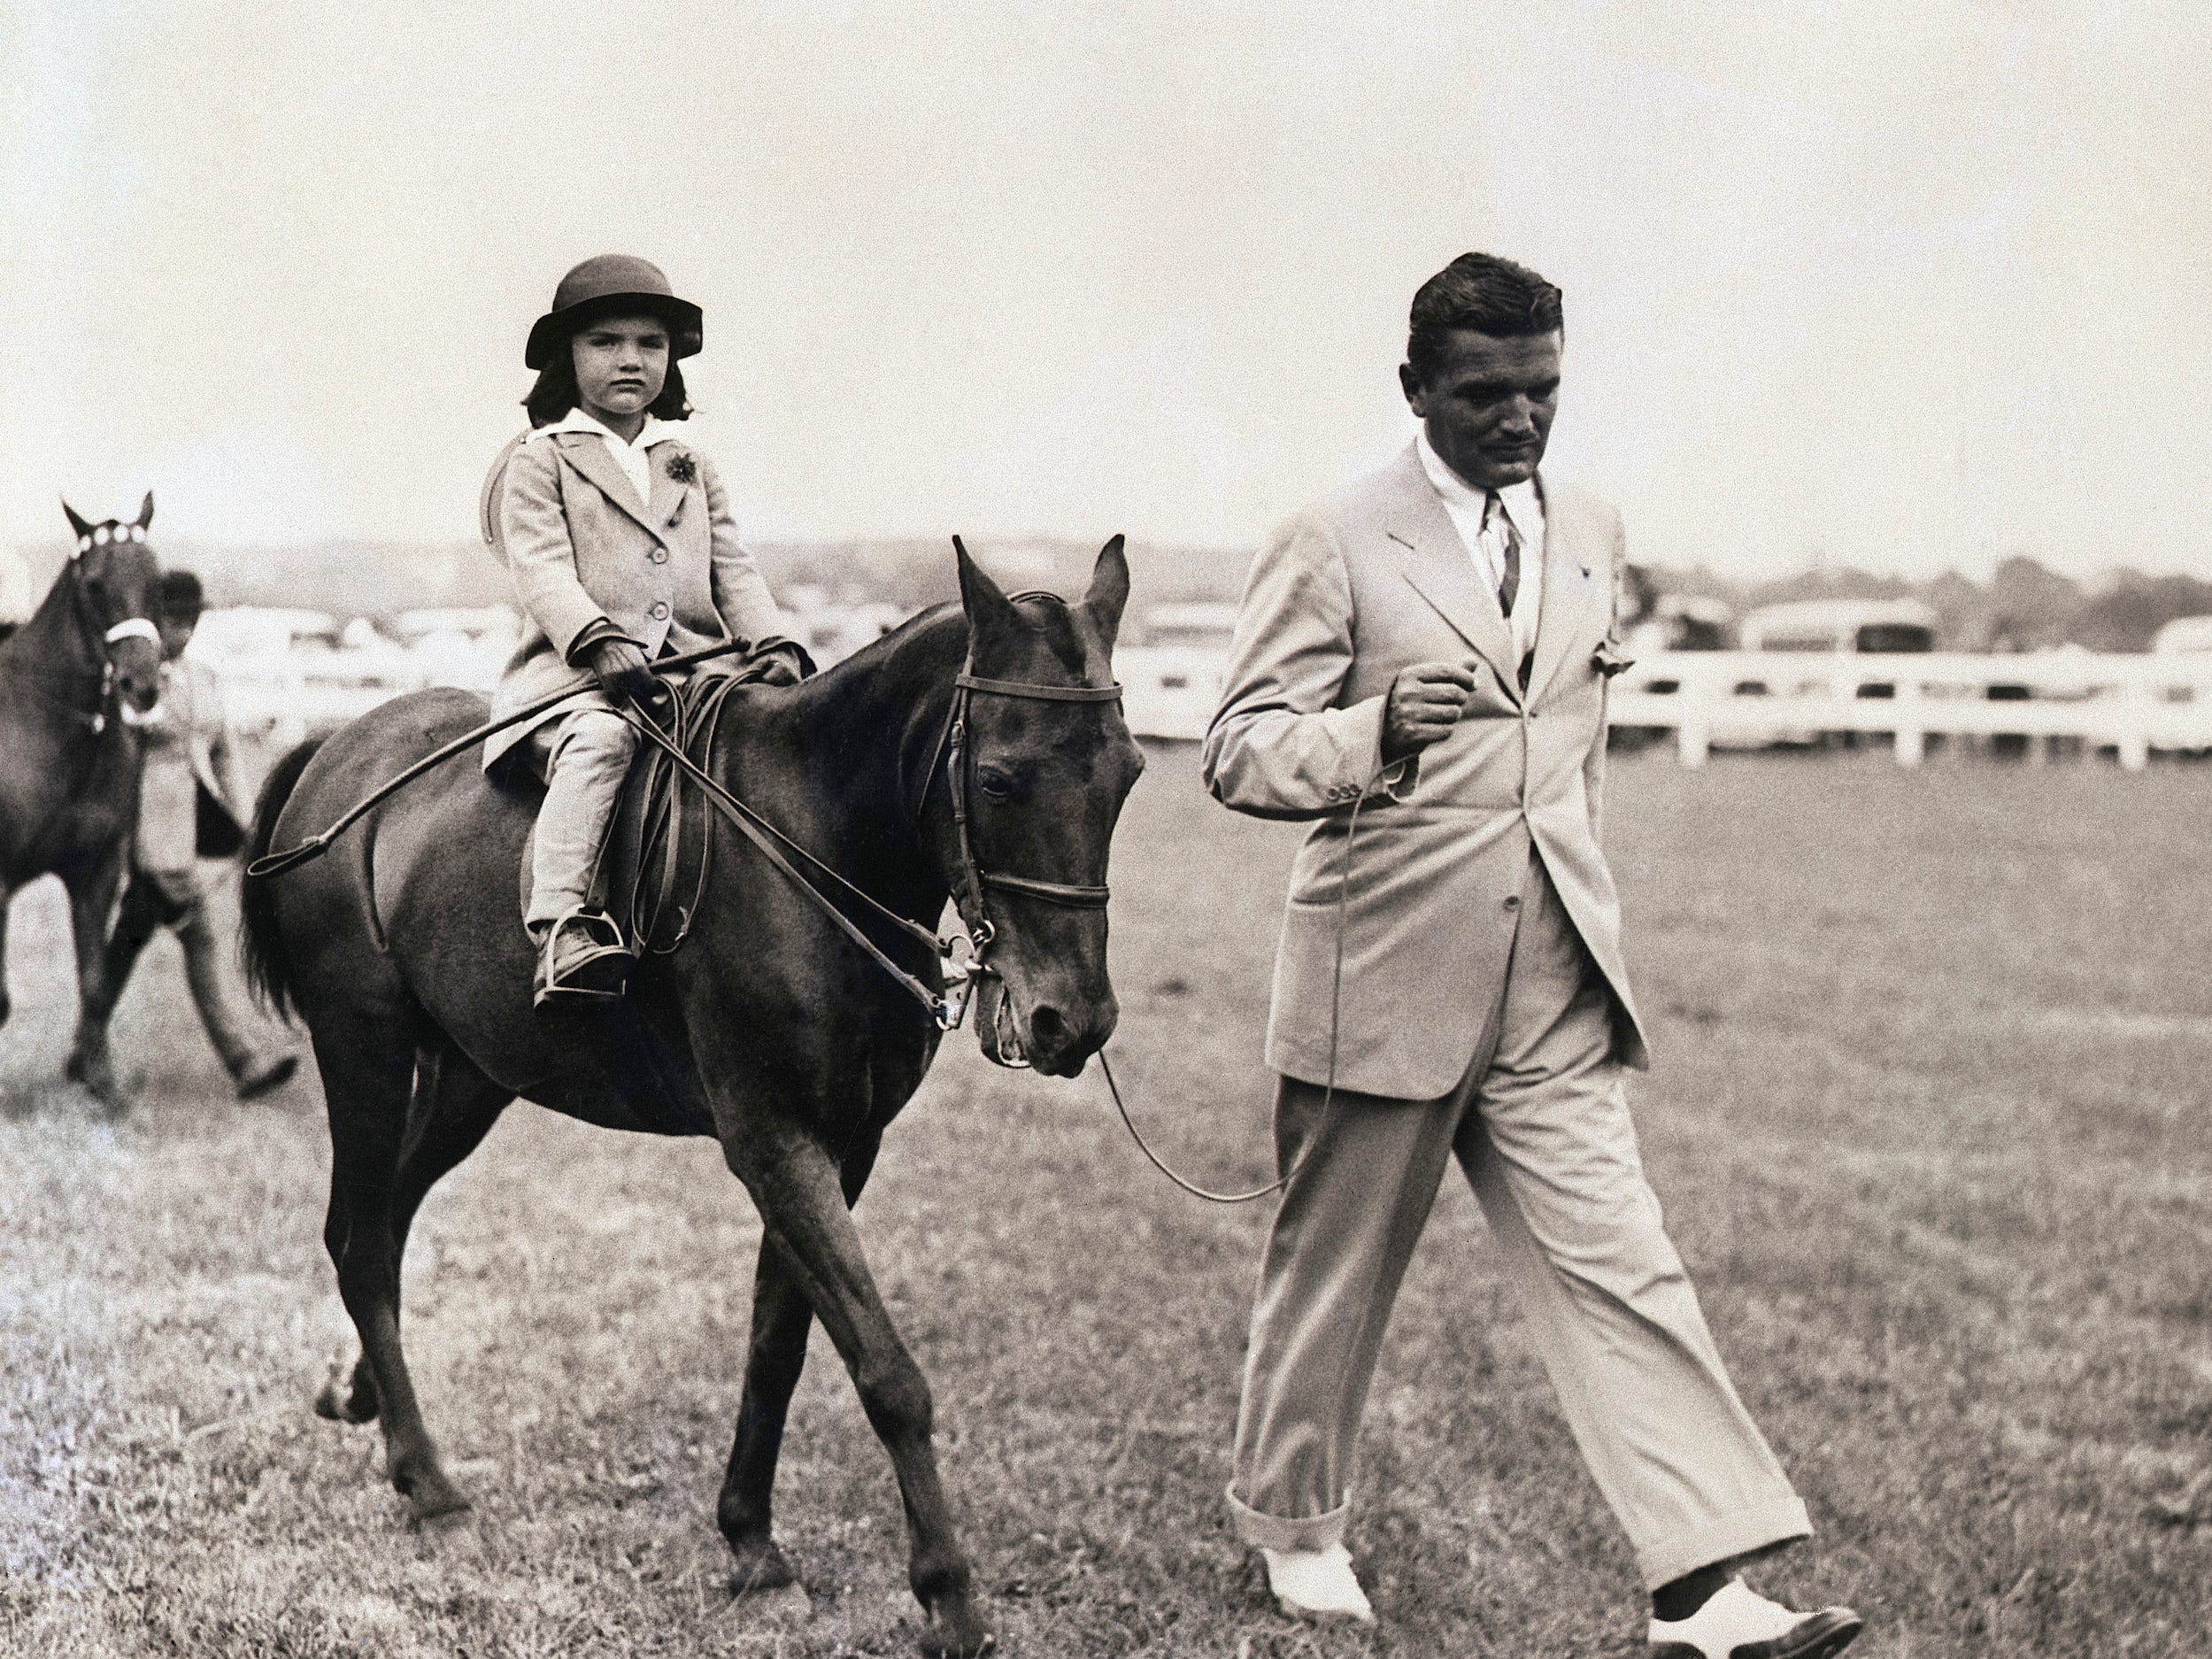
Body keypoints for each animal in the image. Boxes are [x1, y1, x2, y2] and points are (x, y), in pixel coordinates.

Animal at [0, 499, 163, 1110]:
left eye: (156, 581)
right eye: (93, 586)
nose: (142, 685)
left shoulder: (97, 871)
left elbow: (95, 983)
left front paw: (103, 1084)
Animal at [242, 539, 1141, 1655]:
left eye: (1129, 773)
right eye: (1000, 777)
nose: (1073, 1021)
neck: (811, 839)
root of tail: (337, 747)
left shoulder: (841, 1143)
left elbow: (779, 1344)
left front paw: (752, 1542)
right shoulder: (772, 1138)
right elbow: (886, 1369)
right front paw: (949, 1594)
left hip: (471, 1078)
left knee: (386, 1224)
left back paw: (365, 1400)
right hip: (362, 1049)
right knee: (361, 1234)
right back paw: (433, 1486)